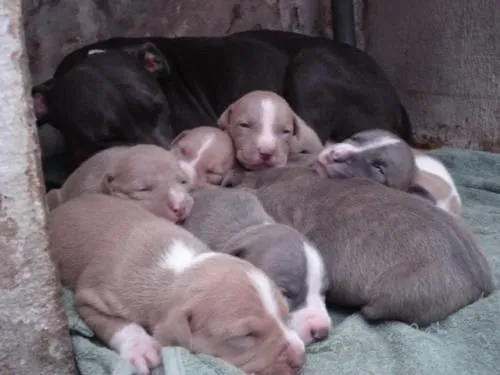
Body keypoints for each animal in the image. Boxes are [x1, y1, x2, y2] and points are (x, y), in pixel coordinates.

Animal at [49, 194, 304, 375]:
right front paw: (141, 348)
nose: (301, 357)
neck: (179, 270)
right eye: (245, 336)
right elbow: (118, 324)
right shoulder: (91, 297)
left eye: (285, 315)